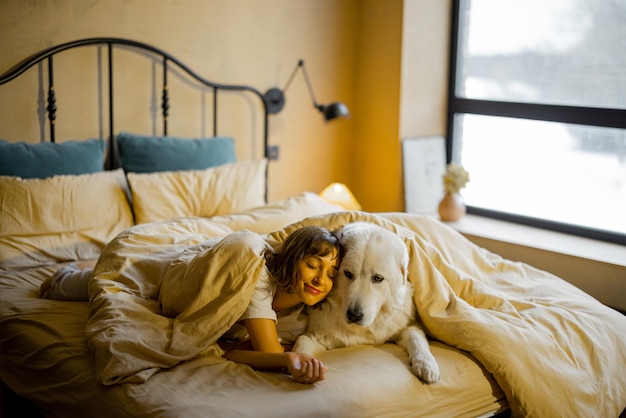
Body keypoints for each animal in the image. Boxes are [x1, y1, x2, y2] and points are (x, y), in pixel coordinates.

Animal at [292, 222, 438, 386]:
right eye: (347, 274)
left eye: (377, 278)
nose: (354, 315)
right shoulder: (320, 336)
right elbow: (302, 341)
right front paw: (302, 365)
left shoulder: (406, 326)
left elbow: (416, 337)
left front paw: (426, 364)